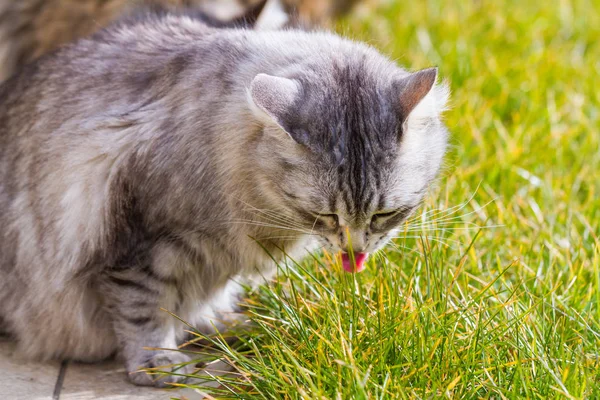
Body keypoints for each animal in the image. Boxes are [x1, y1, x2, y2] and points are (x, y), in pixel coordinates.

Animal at [0, 7, 448, 388]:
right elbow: (143, 309)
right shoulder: (139, 244)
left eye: (384, 214)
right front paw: (156, 363)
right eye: (325, 215)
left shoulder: (212, 258)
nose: (354, 252)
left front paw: (215, 322)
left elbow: (196, 298)